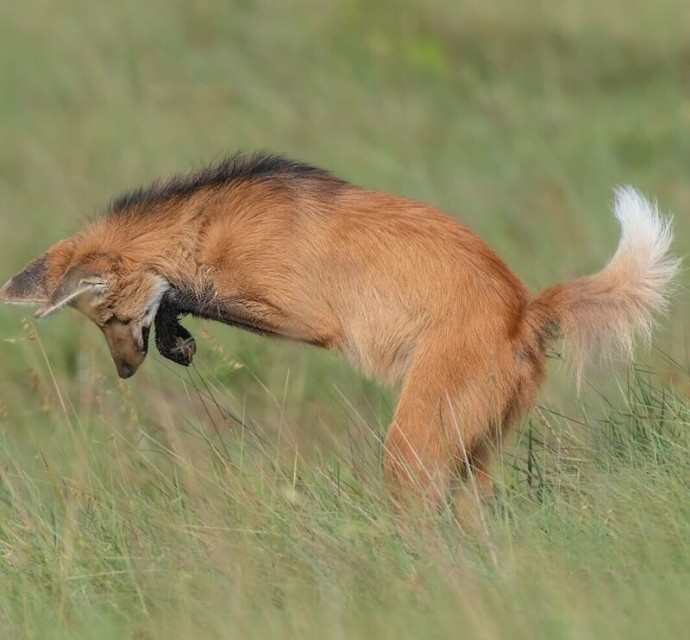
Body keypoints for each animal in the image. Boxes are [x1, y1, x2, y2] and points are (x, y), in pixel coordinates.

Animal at [0, 154, 676, 504]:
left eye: (112, 321)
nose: (123, 371)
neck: (201, 227)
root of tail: (525, 307)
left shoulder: (298, 313)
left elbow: (192, 293)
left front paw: (176, 329)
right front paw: (178, 338)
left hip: (415, 442)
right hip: (476, 446)